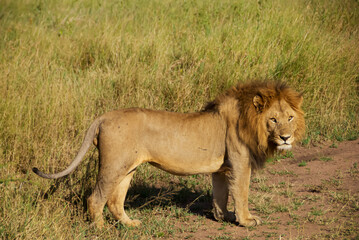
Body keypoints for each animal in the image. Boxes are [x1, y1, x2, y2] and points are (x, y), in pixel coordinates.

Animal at [31, 81, 306, 229]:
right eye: (273, 119)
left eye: (290, 118)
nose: (286, 138)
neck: (250, 121)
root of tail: (103, 116)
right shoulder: (240, 163)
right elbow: (241, 193)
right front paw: (247, 221)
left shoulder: (222, 168)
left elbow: (221, 195)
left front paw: (222, 217)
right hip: (113, 165)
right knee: (95, 198)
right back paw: (100, 229)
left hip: (127, 168)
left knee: (115, 201)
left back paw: (131, 224)